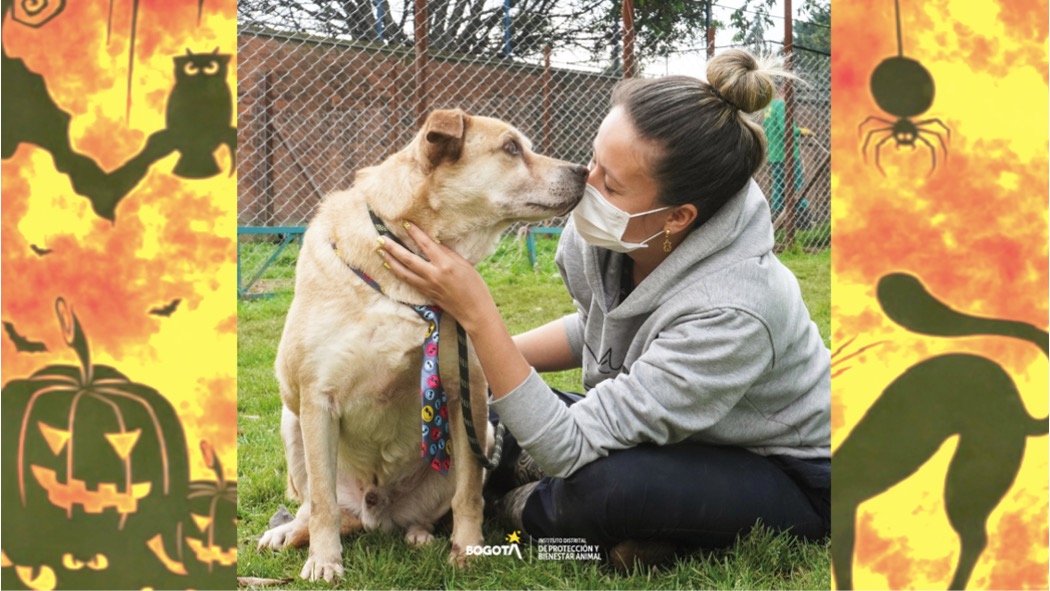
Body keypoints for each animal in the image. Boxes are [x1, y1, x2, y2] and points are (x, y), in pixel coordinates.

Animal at [251, 107, 583, 583]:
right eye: (511, 148)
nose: (585, 170)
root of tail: (373, 513)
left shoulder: (465, 396)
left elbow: (469, 495)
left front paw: (468, 548)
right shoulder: (316, 400)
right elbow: (323, 505)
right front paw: (325, 561)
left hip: (479, 435)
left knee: (423, 512)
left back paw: (420, 534)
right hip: (291, 422)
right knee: (314, 504)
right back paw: (290, 533)